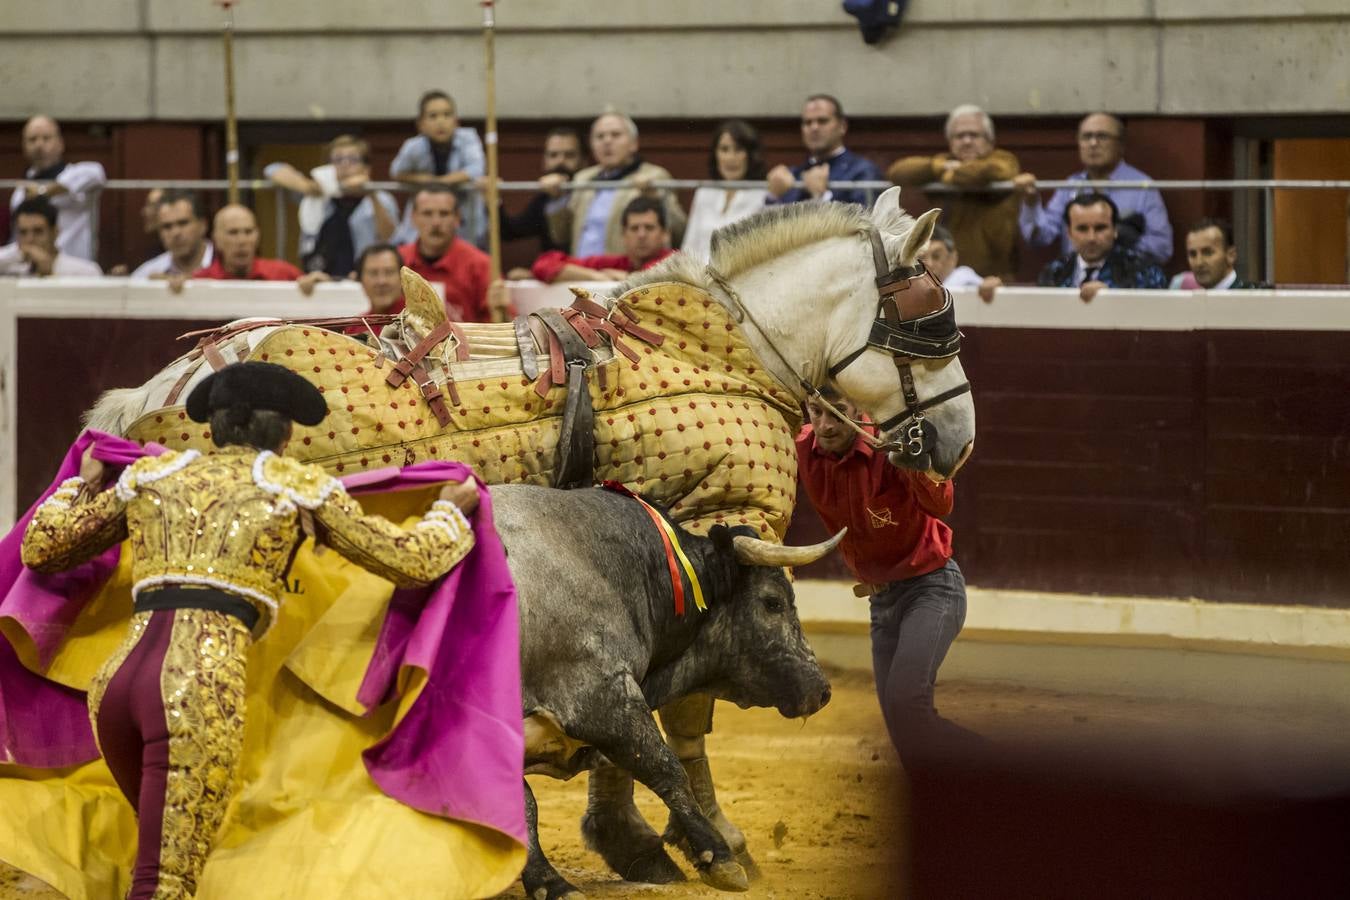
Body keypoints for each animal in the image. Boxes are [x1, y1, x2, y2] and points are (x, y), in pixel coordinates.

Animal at [491, 485, 837, 900]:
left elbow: (523, 802)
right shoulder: (603, 697)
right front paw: (718, 856)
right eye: (773, 602)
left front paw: (546, 880)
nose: (821, 690)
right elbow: (666, 768)